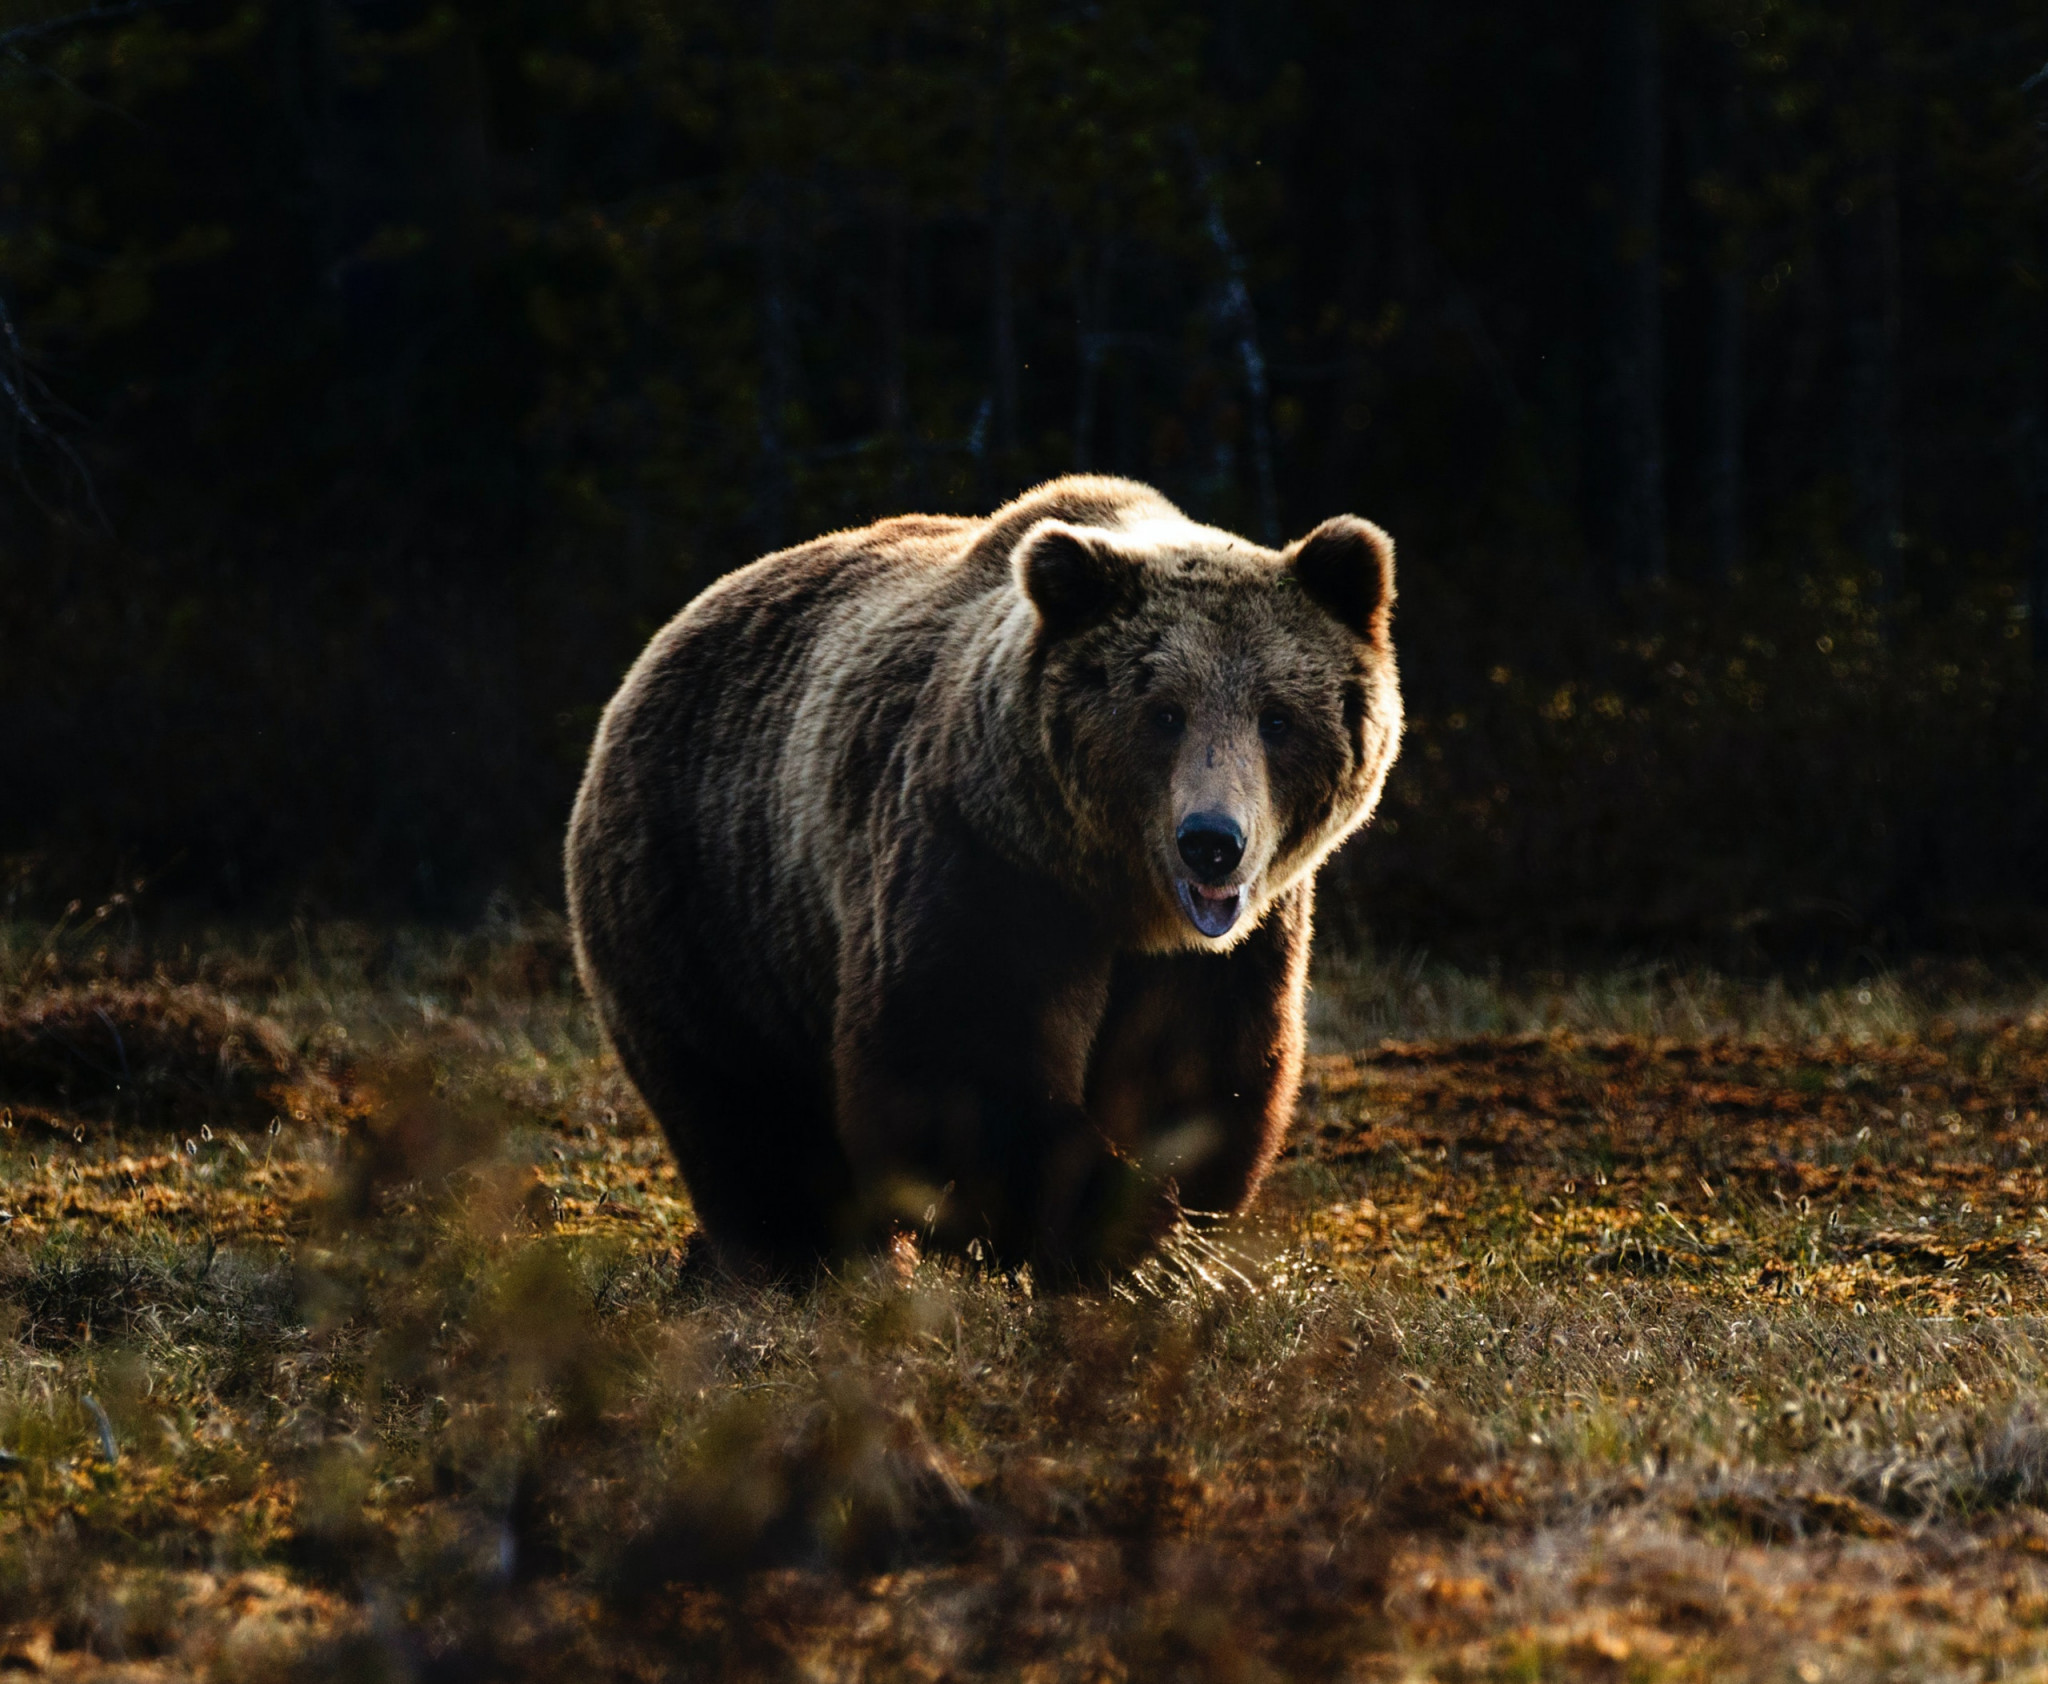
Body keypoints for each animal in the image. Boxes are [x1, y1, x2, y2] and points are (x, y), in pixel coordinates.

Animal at [569, 475, 1400, 1278]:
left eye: (1276, 717)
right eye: (1164, 713)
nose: (1212, 843)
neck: (1118, 895)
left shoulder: (1231, 946)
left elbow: (1199, 1074)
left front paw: (1163, 1231)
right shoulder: (985, 860)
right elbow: (955, 1062)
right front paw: (1113, 1231)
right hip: (709, 897)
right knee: (746, 1111)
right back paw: (796, 1260)